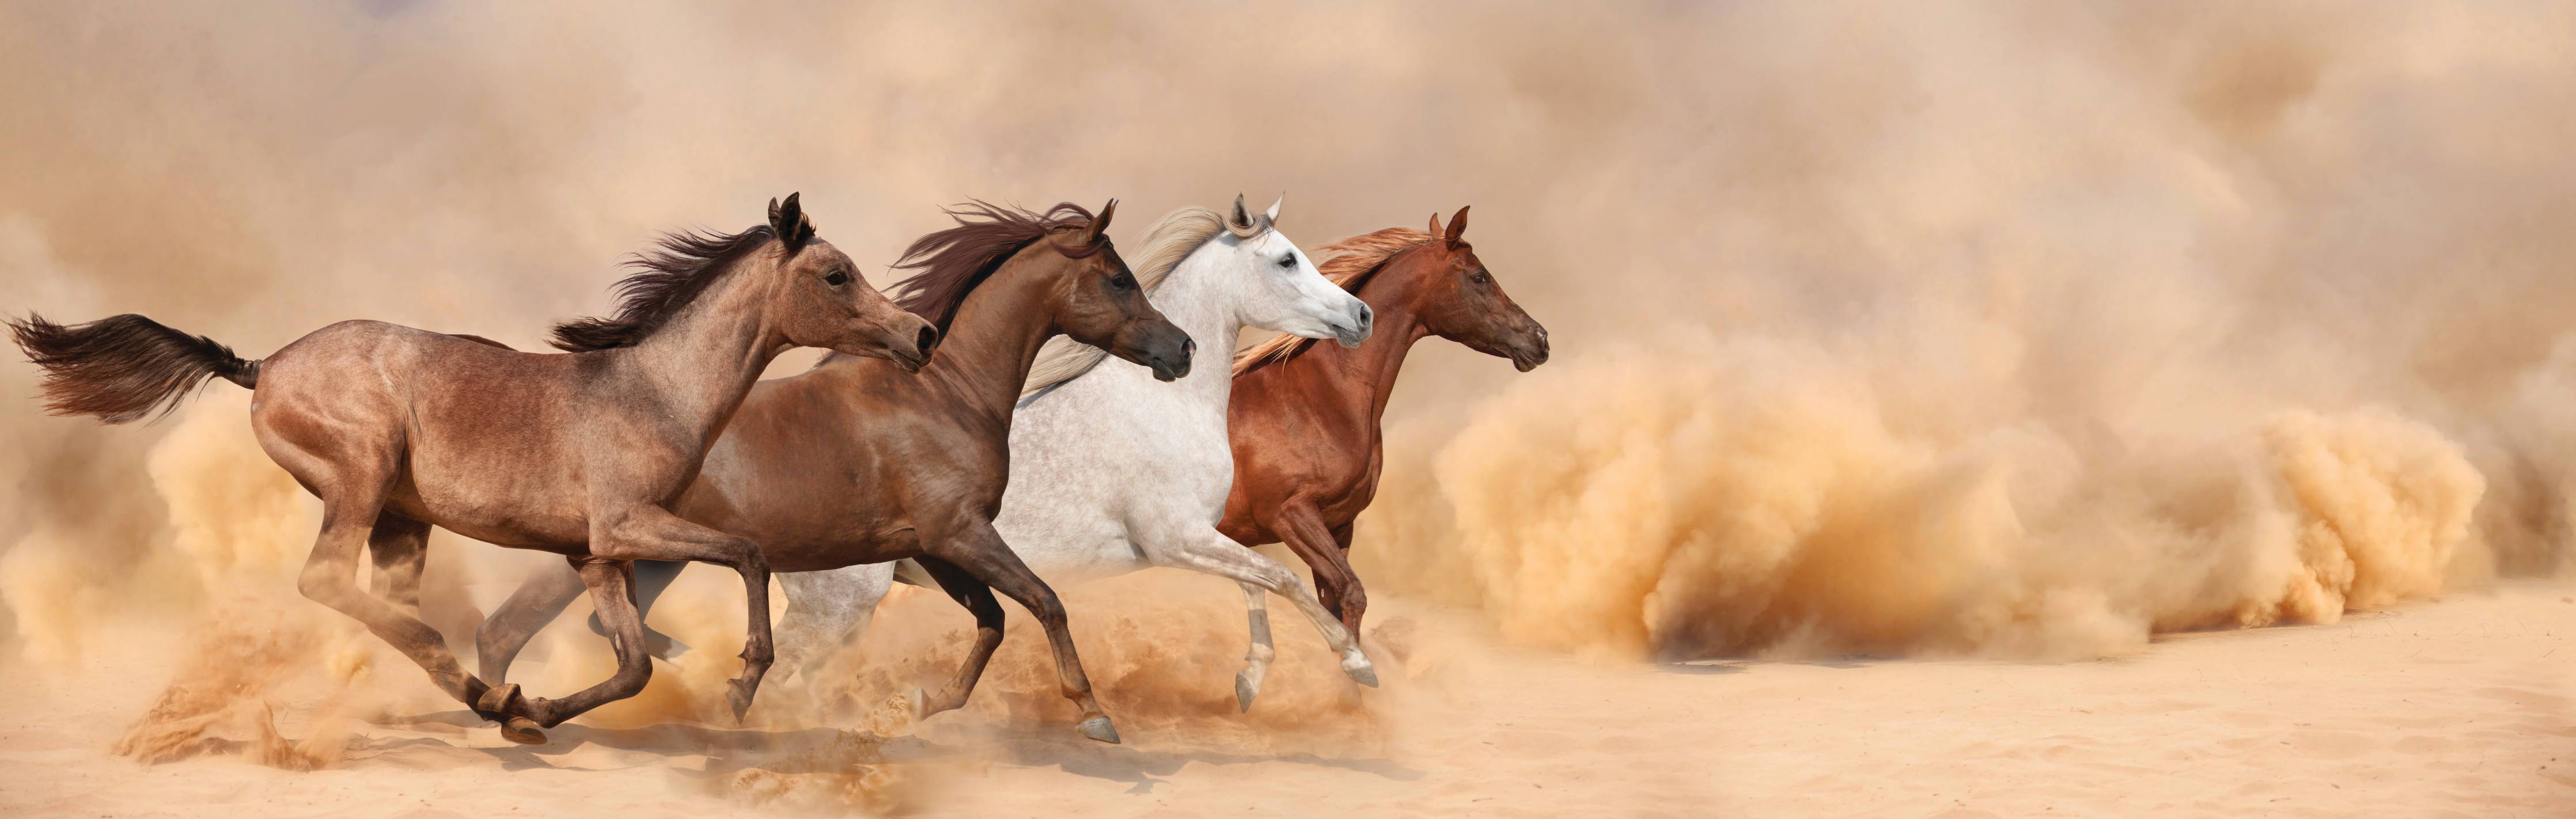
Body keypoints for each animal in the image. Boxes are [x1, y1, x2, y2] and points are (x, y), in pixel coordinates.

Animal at [6, 194, 939, 745]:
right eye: (835, 274)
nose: (923, 335)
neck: (653, 389)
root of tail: (263, 366)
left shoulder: (596, 554)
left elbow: (633, 665)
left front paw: (536, 713)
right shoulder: (630, 526)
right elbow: (748, 554)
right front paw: (743, 682)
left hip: (401, 519)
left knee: (385, 601)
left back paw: (487, 697)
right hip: (363, 476)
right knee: (328, 582)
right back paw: (478, 690)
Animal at [470, 200, 1193, 743]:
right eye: (1120, 278)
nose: (1181, 349)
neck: (945, 394)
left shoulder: (936, 547)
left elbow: (992, 621)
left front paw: (924, 704)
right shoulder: (961, 535)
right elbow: (1045, 602)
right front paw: (1093, 714)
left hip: (648, 557)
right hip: (603, 551)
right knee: (507, 631)